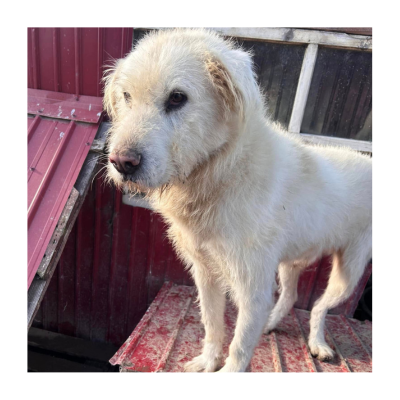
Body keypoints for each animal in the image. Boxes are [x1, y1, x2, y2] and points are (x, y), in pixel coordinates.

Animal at [104, 28, 372, 372]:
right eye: (126, 96)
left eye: (177, 98)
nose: (121, 163)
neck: (221, 174)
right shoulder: (205, 272)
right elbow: (212, 324)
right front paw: (207, 361)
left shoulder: (252, 288)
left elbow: (241, 345)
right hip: (292, 262)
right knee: (291, 296)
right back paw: (272, 324)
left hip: (348, 274)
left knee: (318, 307)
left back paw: (318, 343)